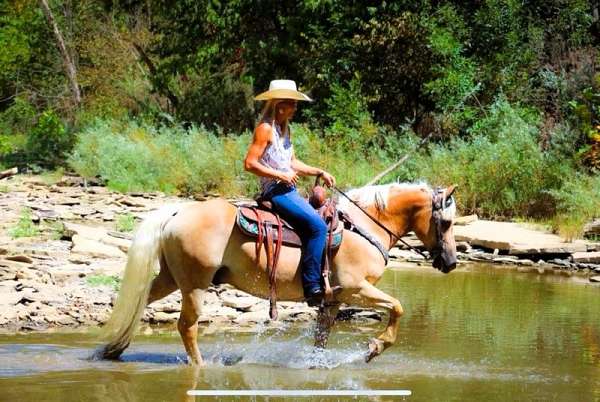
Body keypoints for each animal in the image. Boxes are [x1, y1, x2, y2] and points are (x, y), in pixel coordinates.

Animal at [96, 182, 458, 364]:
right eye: (446, 222)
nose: (452, 263)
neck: (364, 226)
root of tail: (177, 212)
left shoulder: (333, 300)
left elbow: (321, 339)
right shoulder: (356, 288)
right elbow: (398, 307)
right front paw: (375, 347)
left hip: (171, 279)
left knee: (140, 302)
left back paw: (112, 349)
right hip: (195, 285)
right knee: (187, 326)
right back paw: (199, 366)